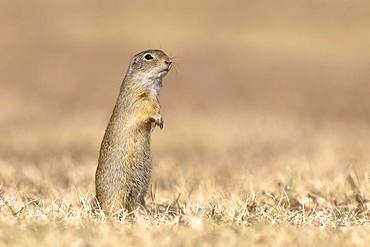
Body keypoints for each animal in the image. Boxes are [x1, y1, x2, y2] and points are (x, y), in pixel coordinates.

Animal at [94, 48, 171, 212]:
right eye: (148, 57)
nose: (169, 61)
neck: (149, 86)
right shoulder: (138, 100)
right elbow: (147, 111)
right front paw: (158, 119)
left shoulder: (155, 100)